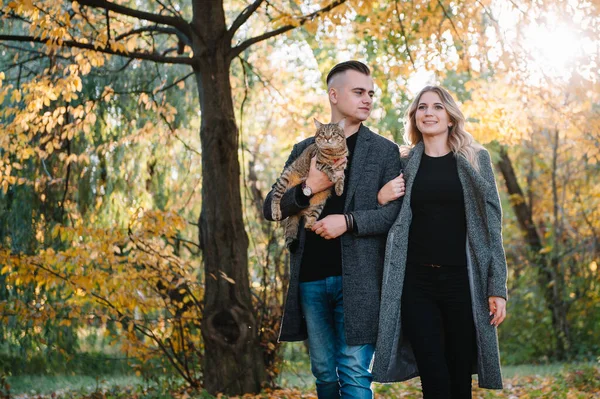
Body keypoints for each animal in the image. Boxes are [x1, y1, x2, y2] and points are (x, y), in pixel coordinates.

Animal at [270, 118, 350, 247]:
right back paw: (276, 212)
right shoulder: (318, 163)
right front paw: (332, 175)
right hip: (285, 179)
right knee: (276, 197)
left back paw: (311, 224)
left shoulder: (342, 168)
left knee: (310, 218)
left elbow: (341, 178)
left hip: (319, 203)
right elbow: (328, 167)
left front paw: (339, 189)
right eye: (322, 133)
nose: (327, 138)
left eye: (333, 133)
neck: (334, 153)